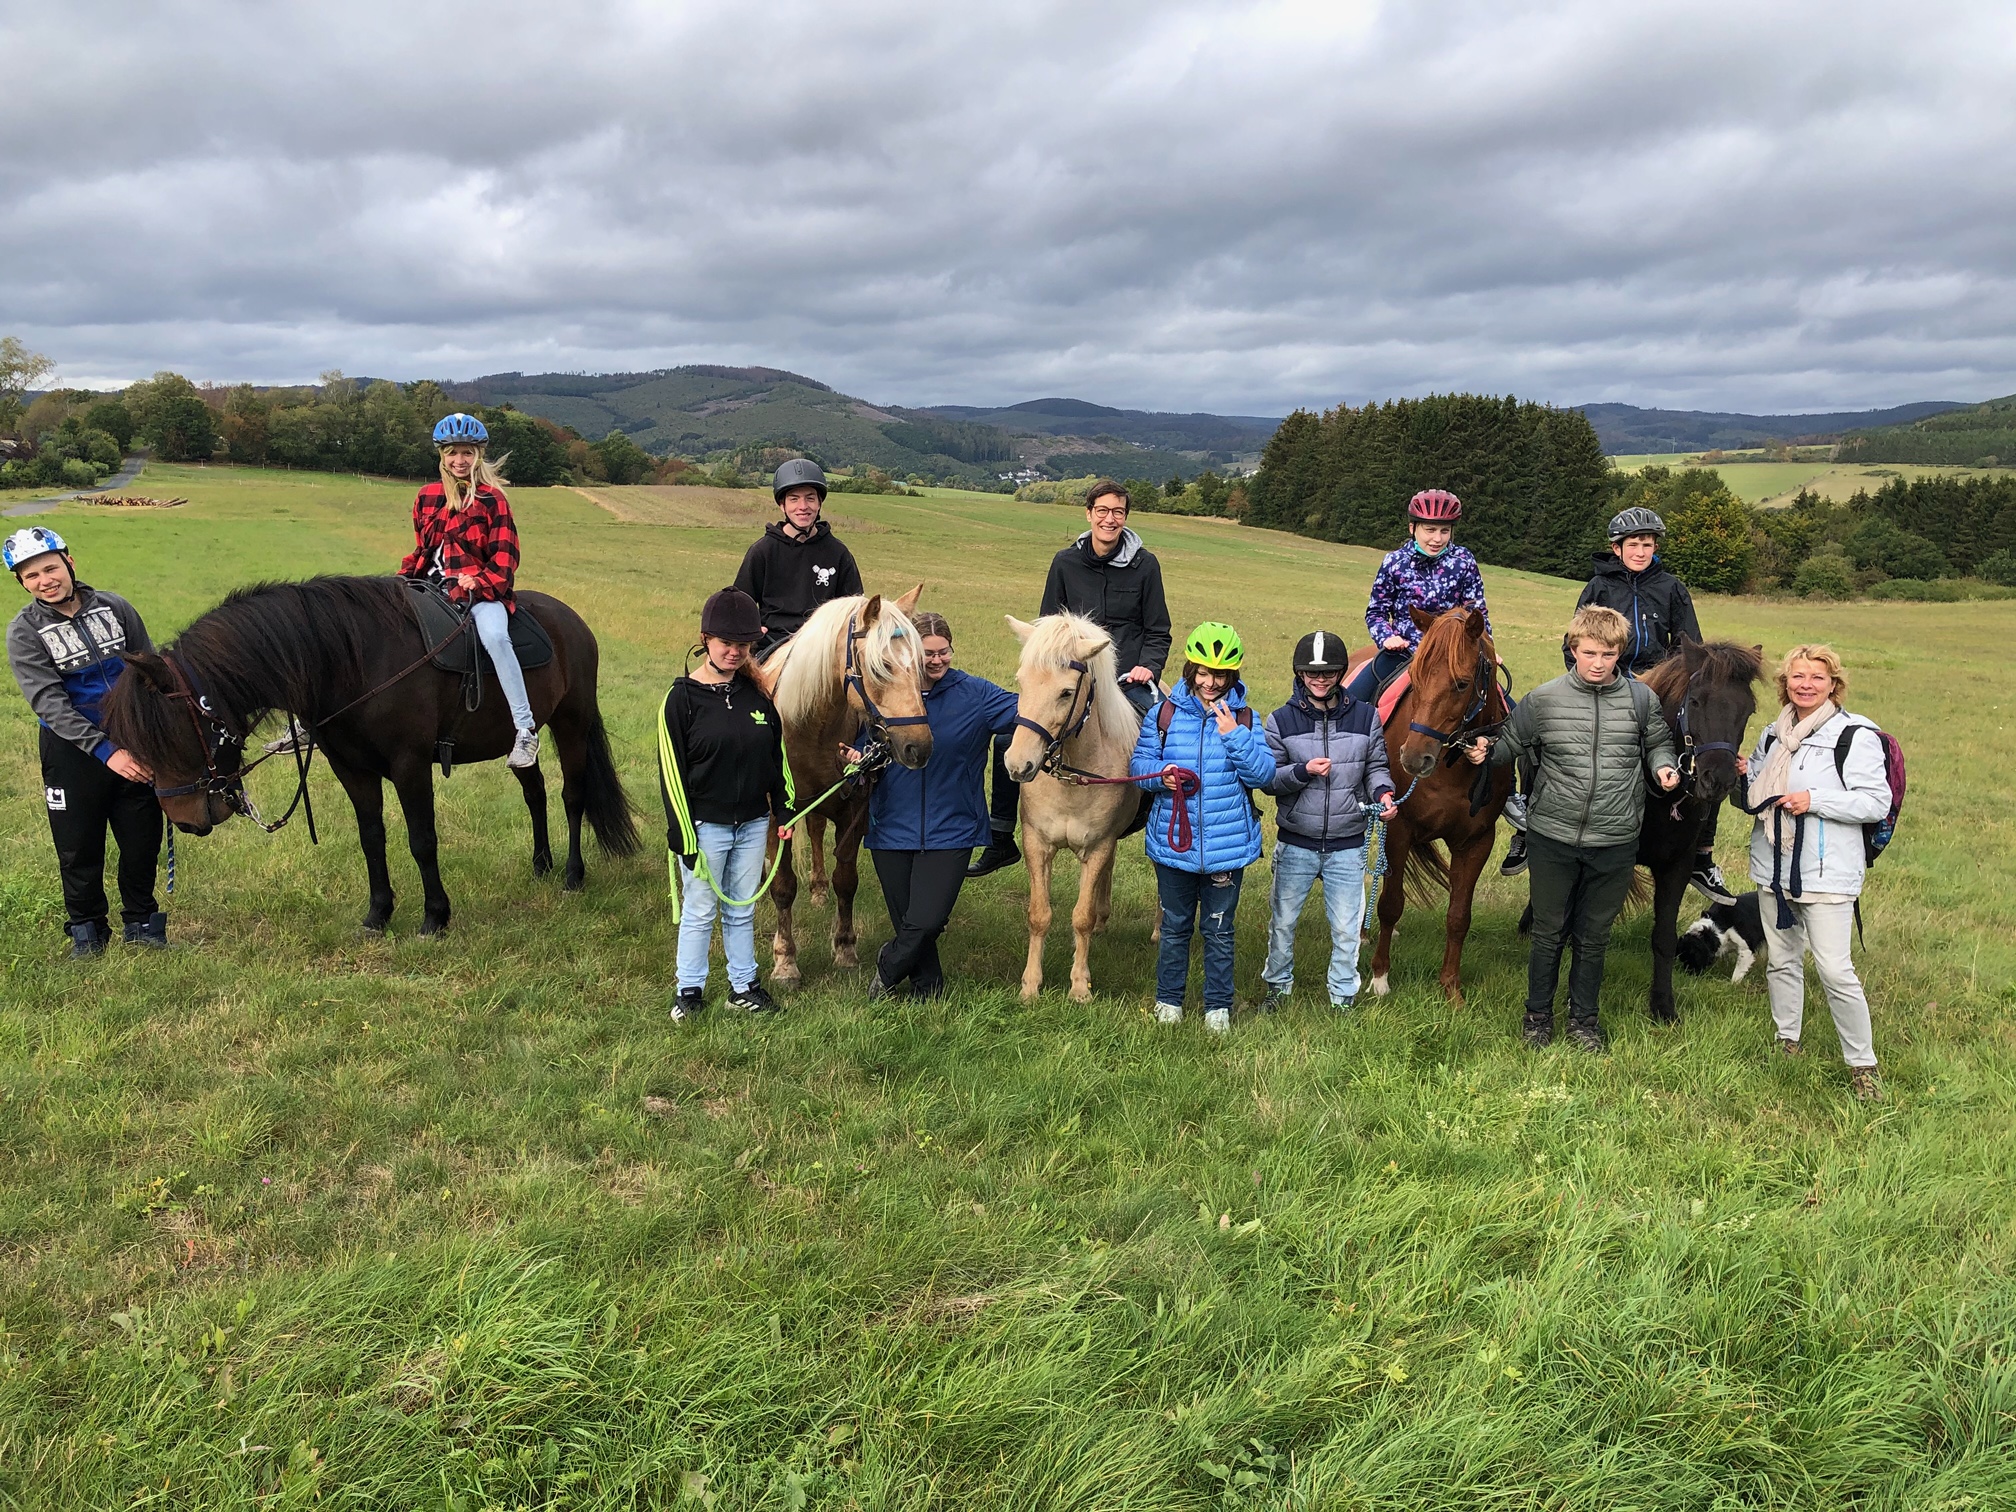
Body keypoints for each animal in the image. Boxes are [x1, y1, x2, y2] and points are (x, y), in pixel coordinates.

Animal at [100, 576, 637, 935]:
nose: (183, 819)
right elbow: (371, 838)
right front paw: (379, 913)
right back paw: (541, 864)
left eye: (171, 735)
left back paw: (571, 874)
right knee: (536, 792)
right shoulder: (352, 769)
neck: (353, 660)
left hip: (571, 724)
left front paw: (435, 916)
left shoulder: (410, 765)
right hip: (517, 741)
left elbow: (422, 840)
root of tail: (572, 621)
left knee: (572, 796)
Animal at [753, 584, 931, 987]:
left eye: (921, 665)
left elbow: (845, 879)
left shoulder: (855, 810)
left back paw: (818, 889)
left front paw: (845, 947)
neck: (811, 728)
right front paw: (785, 960)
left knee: (817, 830)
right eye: (881, 668)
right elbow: (783, 886)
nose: (919, 747)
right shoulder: (778, 817)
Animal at [995, 608, 1145, 1012]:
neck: (1072, 774)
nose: (1018, 765)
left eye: (1065, 692)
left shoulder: (1097, 847)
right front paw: (1030, 985)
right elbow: (1039, 915)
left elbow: (1080, 916)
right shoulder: (1037, 845)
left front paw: (1079, 986)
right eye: (1021, 682)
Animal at [1354, 604, 1516, 1008]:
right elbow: (1391, 903)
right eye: (1415, 677)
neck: (1451, 765)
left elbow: (1459, 915)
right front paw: (1380, 978)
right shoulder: (1399, 829)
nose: (1414, 758)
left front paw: (1451, 988)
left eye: (1461, 683)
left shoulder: (1477, 841)